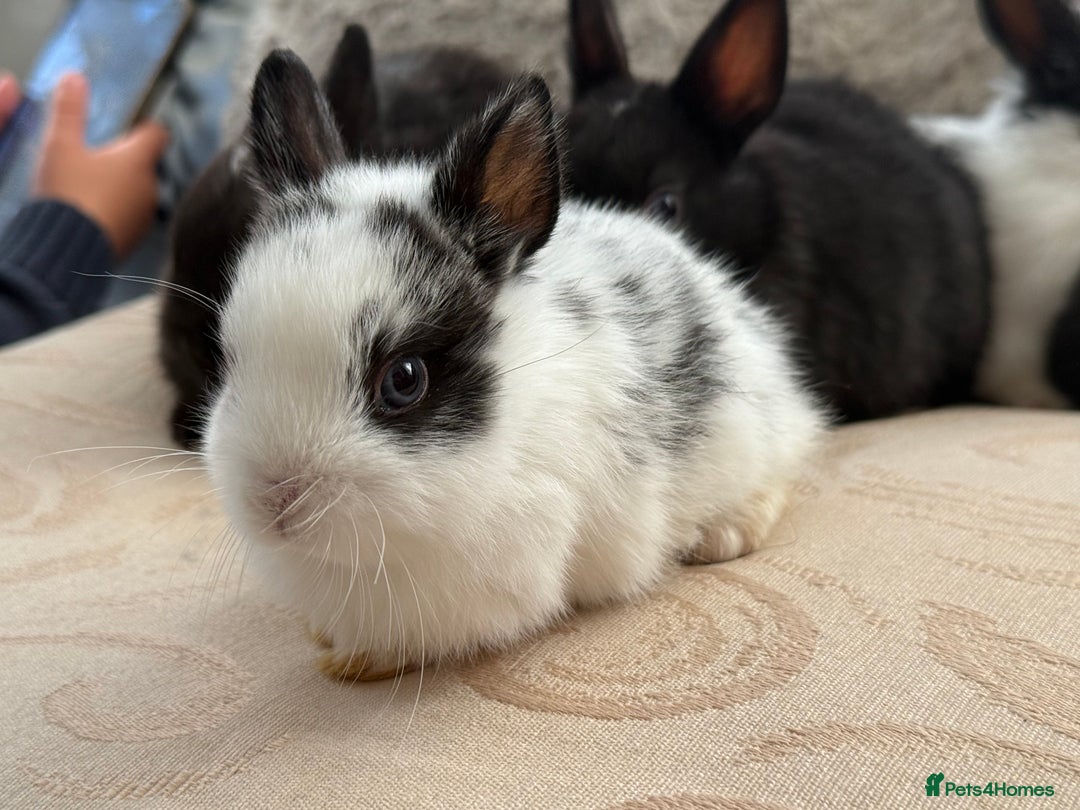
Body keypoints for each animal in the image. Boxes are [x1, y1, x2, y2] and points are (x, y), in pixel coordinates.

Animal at [202, 50, 825, 681]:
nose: (274, 500)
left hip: (746, 436)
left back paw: (722, 535)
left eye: (403, 380)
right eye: (230, 358)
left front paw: (354, 662)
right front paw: (324, 638)